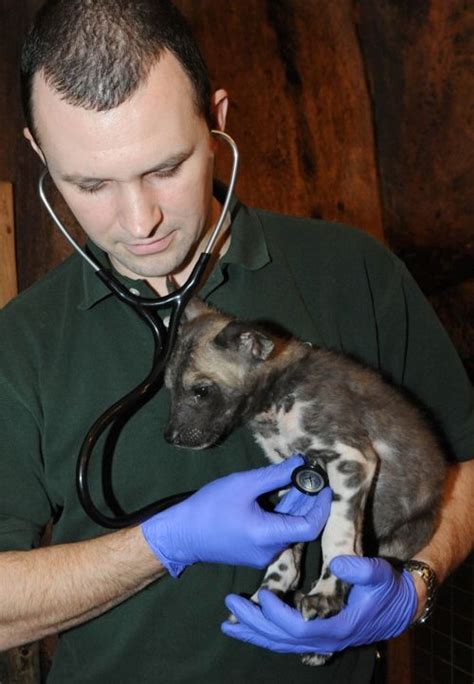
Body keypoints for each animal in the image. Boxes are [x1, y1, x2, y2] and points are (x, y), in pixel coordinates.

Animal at [163, 300, 444, 664]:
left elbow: (335, 540)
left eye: (200, 390)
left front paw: (324, 593)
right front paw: (266, 596)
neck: (277, 400)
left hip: (401, 538)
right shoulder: (289, 475)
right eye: (169, 389)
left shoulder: (350, 460)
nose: (169, 437)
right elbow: (284, 546)